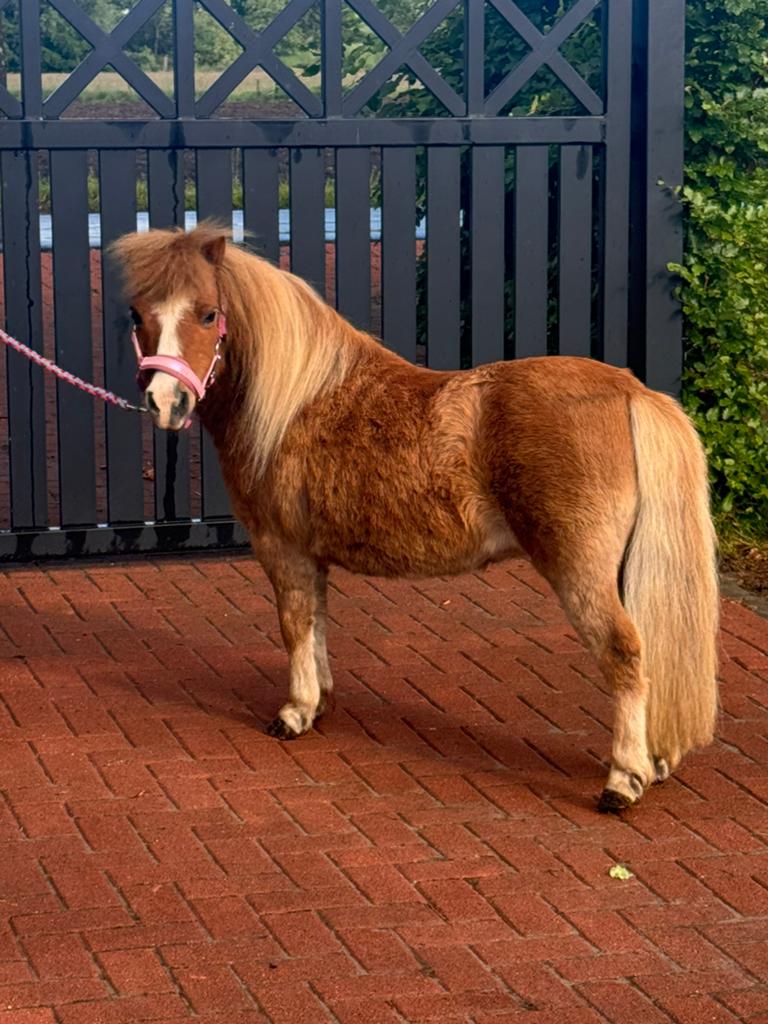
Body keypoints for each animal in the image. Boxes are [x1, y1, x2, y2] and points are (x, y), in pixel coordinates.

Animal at [112, 223, 718, 813]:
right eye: (138, 315)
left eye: (208, 313)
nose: (165, 402)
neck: (294, 403)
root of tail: (630, 392)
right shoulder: (311, 557)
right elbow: (317, 622)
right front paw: (320, 702)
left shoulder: (282, 549)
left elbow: (294, 624)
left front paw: (295, 713)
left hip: (581, 571)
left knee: (625, 653)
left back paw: (624, 779)